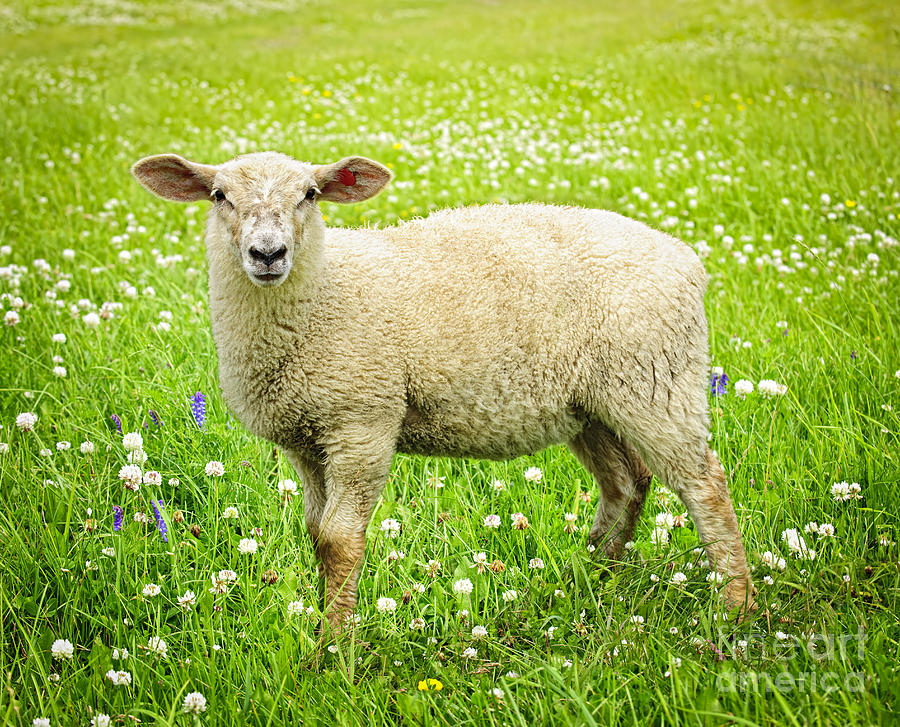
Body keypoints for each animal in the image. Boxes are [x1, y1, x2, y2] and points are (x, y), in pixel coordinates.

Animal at [132, 152, 752, 632]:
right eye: (219, 195)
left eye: (310, 194)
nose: (267, 254)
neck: (324, 293)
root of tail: (686, 257)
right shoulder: (307, 439)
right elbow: (314, 534)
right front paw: (325, 631)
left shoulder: (362, 422)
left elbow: (338, 541)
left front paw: (333, 650)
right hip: (590, 403)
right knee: (625, 484)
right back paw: (592, 576)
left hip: (657, 381)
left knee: (705, 487)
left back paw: (735, 606)